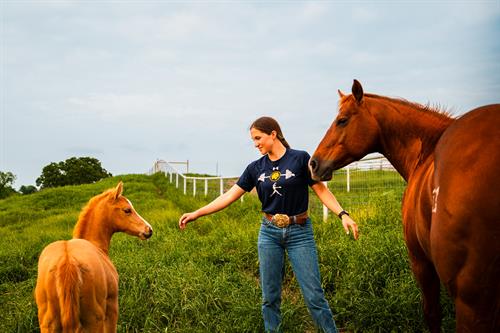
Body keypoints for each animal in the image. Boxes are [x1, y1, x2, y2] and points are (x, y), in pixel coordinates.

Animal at [35, 182, 152, 332]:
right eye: (127, 210)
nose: (149, 230)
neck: (96, 244)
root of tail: (68, 261)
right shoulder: (112, 306)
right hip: (94, 319)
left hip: (48, 323)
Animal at [310, 80, 498, 330]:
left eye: (342, 119)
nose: (313, 163)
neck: (427, 151)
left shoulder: (420, 260)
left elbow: (431, 314)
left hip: (472, 301)